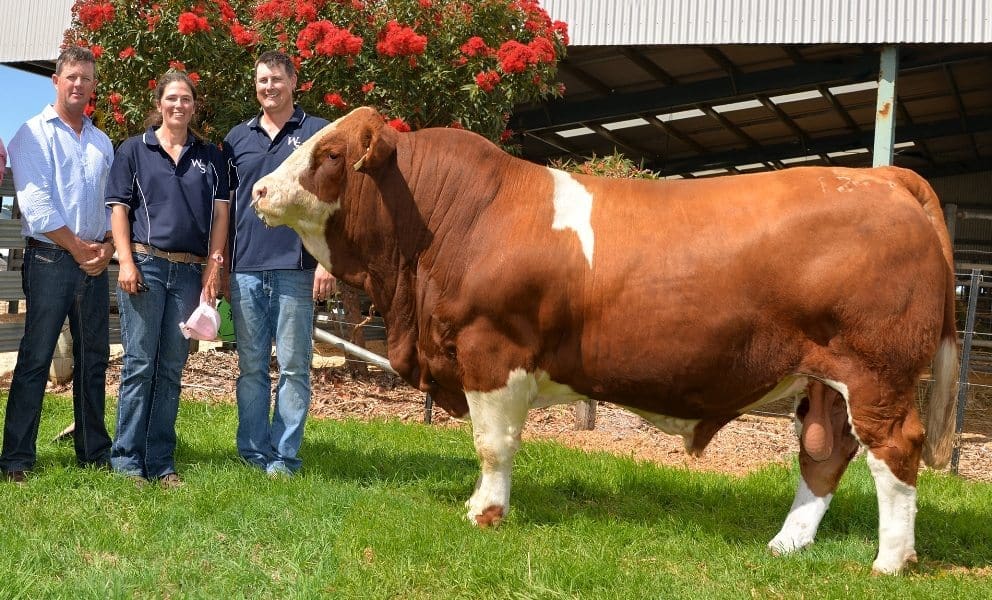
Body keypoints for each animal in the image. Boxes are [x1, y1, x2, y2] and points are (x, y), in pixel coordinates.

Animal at [251, 106, 958, 574]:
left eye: (329, 154)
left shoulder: (491, 353)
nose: (258, 188)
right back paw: (789, 543)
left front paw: (486, 513)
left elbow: (492, 445)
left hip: (876, 372)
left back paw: (890, 561)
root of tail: (884, 178)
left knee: (895, 450)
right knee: (824, 452)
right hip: (827, 378)